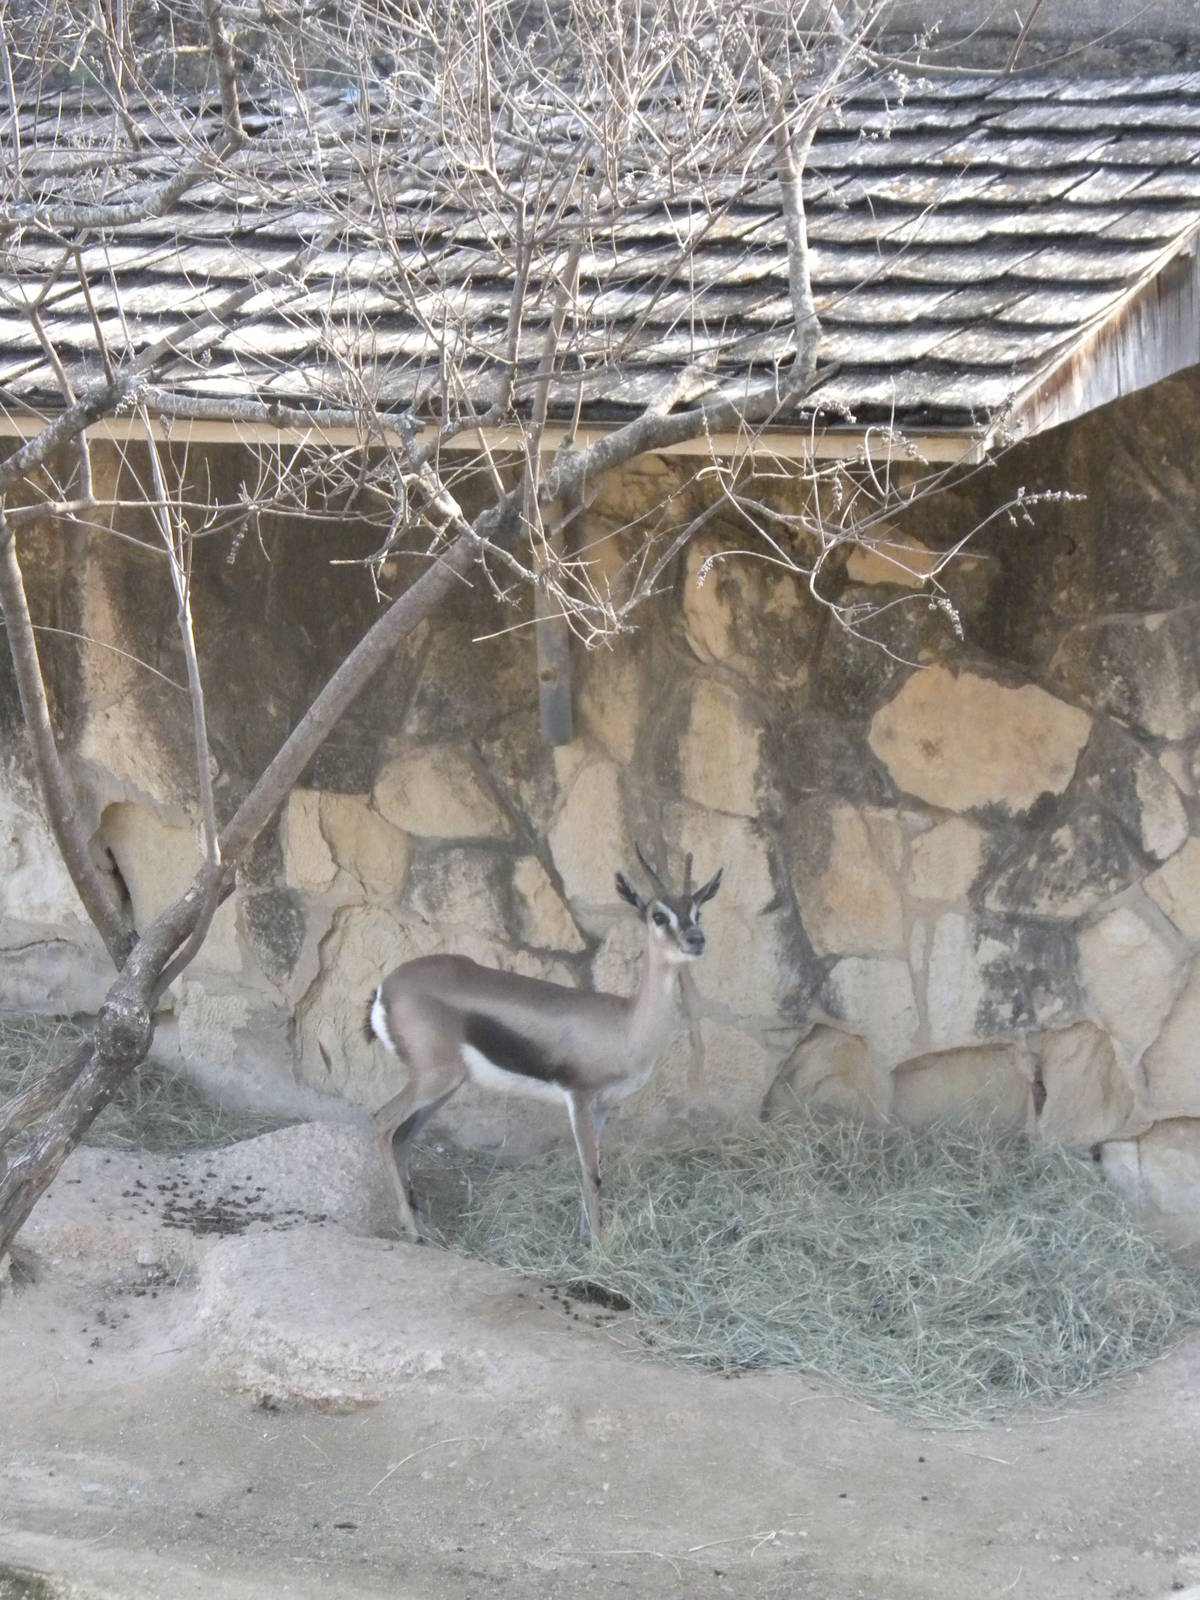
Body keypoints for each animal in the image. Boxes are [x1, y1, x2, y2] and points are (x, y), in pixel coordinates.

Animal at [366, 847, 723, 1242]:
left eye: (697, 912)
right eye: (659, 915)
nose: (696, 939)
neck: (625, 1024)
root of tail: (385, 988)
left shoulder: (602, 1106)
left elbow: (592, 1170)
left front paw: (587, 1234)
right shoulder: (579, 1097)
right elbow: (590, 1171)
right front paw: (598, 1246)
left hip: (446, 1085)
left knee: (403, 1137)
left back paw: (426, 1228)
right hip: (433, 1079)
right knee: (383, 1123)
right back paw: (412, 1230)